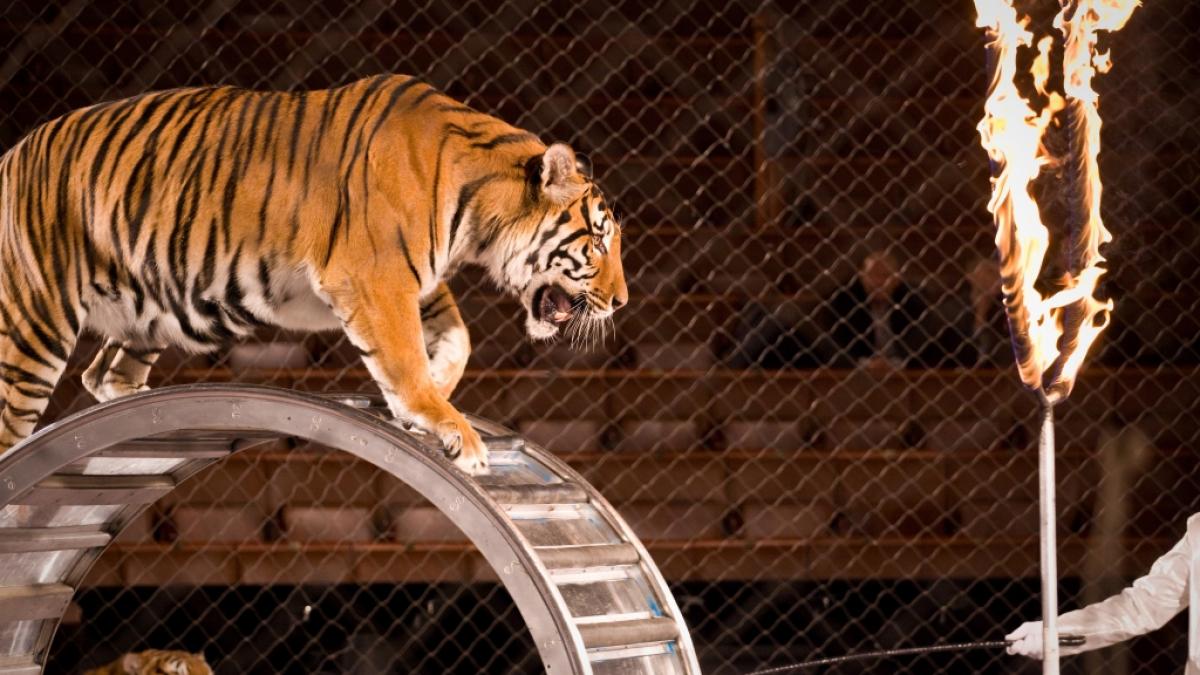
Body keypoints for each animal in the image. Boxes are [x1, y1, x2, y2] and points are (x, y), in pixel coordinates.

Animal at [0, 74, 627, 473]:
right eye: (598, 241)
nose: (621, 302)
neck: (479, 217)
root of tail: (11, 153)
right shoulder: (375, 277)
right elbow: (403, 358)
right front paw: (447, 425)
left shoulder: (411, 279)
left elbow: (456, 338)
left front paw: (438, 392)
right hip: (35, 325)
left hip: (150, 308)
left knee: (104, 375)